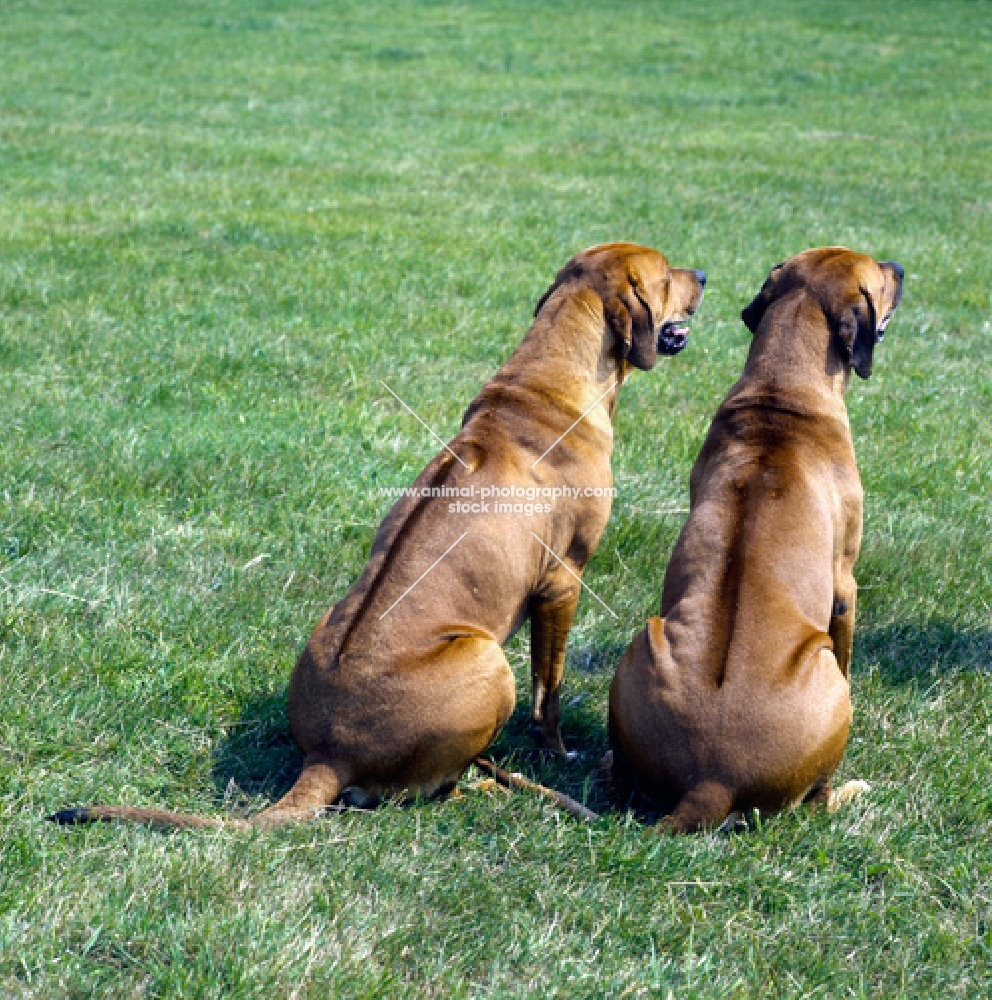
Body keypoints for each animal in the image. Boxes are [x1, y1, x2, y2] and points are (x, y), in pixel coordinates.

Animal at [52, 240, 704, 828]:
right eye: (665, 270)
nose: (702, 272)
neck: (550, 376)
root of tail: (329, 753)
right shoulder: (564, 579)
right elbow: (552, 687)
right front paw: (557, 752)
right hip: (488, 657)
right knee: (437, 788)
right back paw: (487, 785)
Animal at [608, 246, 904, 832]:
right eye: (878, 278)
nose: (901, 268)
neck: (782, 392)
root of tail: (710, 781)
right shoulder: (845, 586)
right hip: (829, 684)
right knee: (817, 798)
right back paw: (850, 790)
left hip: (641, 646)